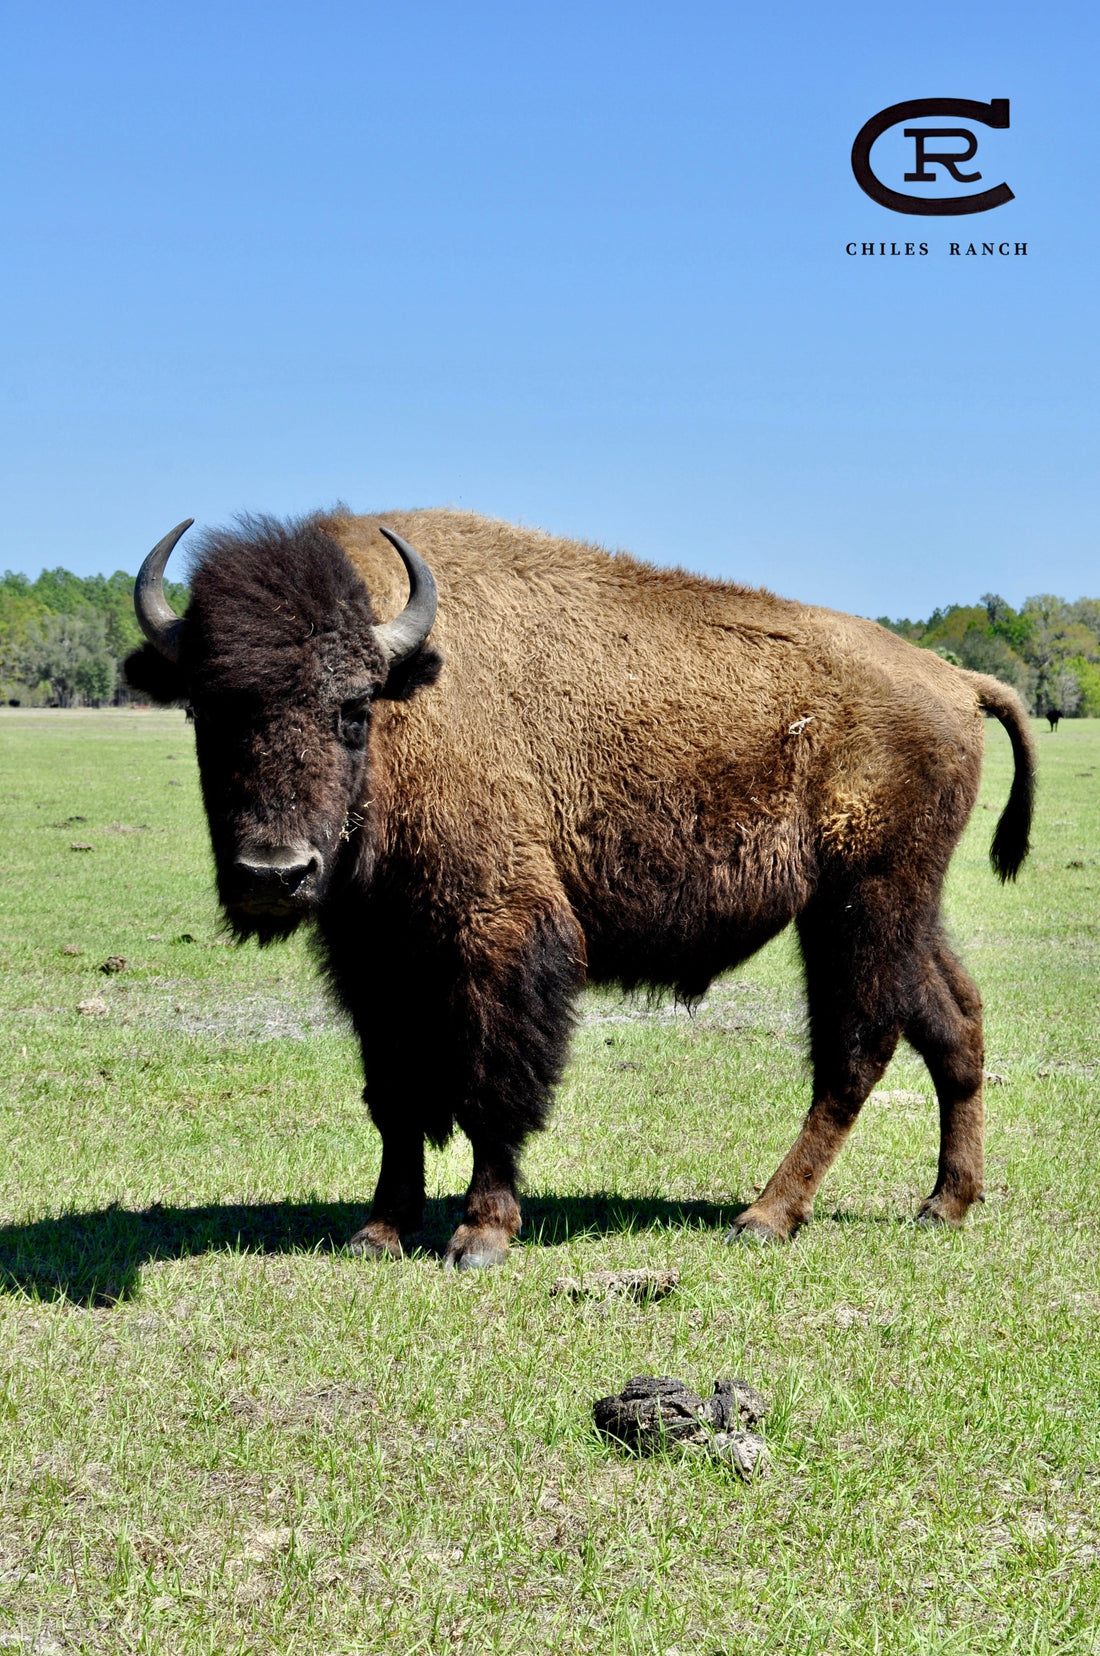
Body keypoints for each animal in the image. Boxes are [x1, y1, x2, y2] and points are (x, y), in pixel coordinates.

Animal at [126, 509, 1035, 1269]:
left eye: (352, 709)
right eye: (206, 710)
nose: (273, 874)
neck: (412, 695)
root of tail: (957, 681)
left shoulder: (502, 936)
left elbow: (495, 1085)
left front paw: (480, 1236)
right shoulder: (373, 959)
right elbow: (396, 1094)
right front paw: (378, 1232)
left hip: (864, 904)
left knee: (857, 1050)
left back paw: (766, 1217)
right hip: (895, 909)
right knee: (954, 1023)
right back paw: (944, 1204)